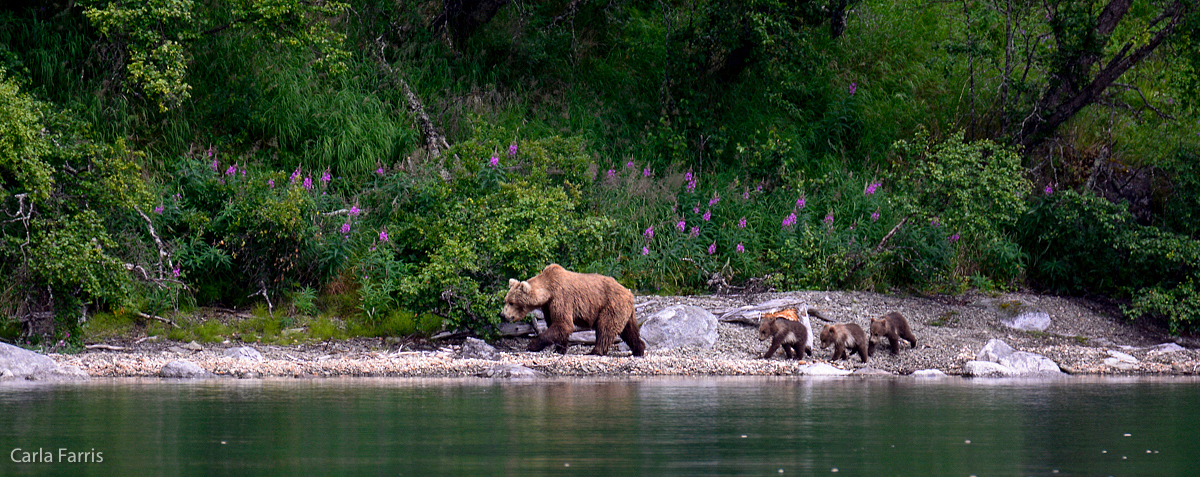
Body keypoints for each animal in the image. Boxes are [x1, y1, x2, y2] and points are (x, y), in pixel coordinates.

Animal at [499, 262, 648, 354]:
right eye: (506, 300)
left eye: (511, 302)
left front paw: (532, 345)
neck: (548, 291)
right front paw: (559, 349)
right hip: (625, 310)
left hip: (611, 305)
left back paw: (595, 351)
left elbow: (563, 324)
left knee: (606, 326)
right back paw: (639, 349)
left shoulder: (561, 298)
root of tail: (629, 293)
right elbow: (556, 324)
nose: (502, 315)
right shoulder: (548, 306)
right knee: (629, 331)